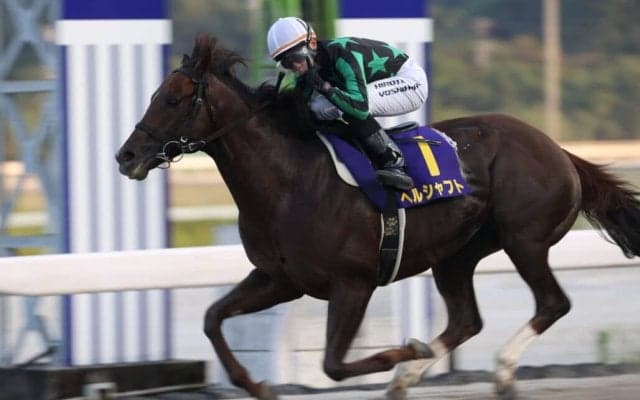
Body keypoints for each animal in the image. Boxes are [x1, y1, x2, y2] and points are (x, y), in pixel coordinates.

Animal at [115, 34, 640, 400]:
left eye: (173, 99)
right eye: (155, 95)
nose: (126, 156)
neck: (288, 181)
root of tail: (558, 150)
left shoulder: (354, 282)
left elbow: (333, 364)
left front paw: (407, 350)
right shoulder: (280, 279)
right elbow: (212, 318)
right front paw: (255, 383)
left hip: (524, 239)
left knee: (553, 303)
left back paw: (501, 372)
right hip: (456, 253)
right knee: (466, 320)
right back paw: (407, 380)